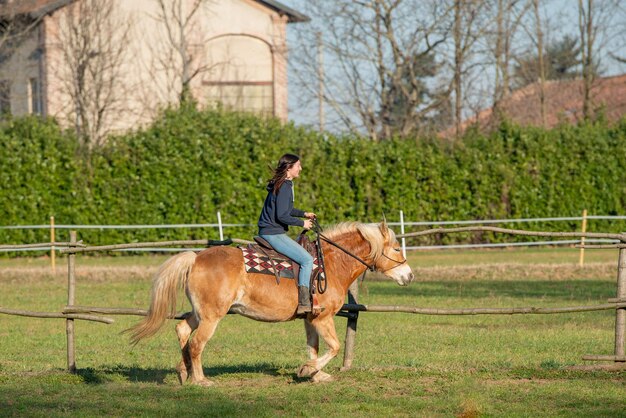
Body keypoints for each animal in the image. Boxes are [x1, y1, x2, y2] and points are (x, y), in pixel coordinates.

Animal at [125, 220, 412, 384]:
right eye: (397, 249)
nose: (409, 276)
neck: (329, 265)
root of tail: (195, 258)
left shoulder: (310, 318)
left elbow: (314, 347)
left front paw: (315, 374)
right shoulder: (323, 317)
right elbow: (334, 346)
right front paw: (308, 370)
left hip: (200, 313)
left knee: (182, 330)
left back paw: (183, 372)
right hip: (211, 316)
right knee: (196, 344)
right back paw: (201, 380)